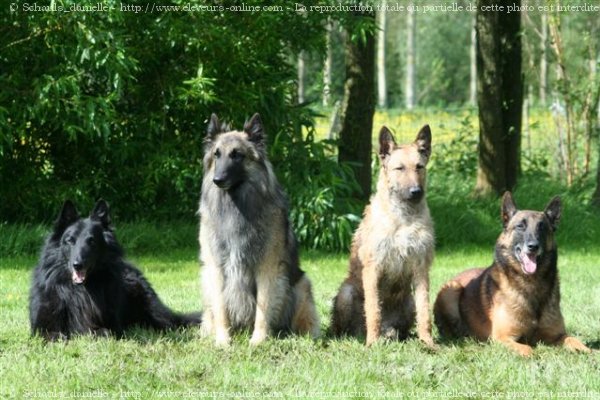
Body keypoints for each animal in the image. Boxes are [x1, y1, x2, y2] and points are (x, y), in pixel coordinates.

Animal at [29, 200, 202, 340]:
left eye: (92, 241)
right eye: (70, 241)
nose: (78, 265)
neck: (80, 291)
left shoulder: (112, 326)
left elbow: (103, 332)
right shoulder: (41, 328)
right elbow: (55, 336)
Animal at [330, 125, 434, 346]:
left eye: (419, 167)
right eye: (400, 168)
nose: (416, 191)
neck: (403, 218)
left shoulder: (421, 268)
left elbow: (425, 311)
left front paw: (428, 342)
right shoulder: (373, 268)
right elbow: (373, 309)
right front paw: (372, 343)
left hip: (408, 302)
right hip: (346, 293)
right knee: (343, 326)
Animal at [434, 191, 592, 356]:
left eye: (542, 228)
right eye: (520, 226)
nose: (533, 246)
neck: (531, 283)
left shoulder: (557, 335)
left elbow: (574, 340)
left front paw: (588, 350)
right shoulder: (503, 338)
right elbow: (529, 349)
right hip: (451, 289)